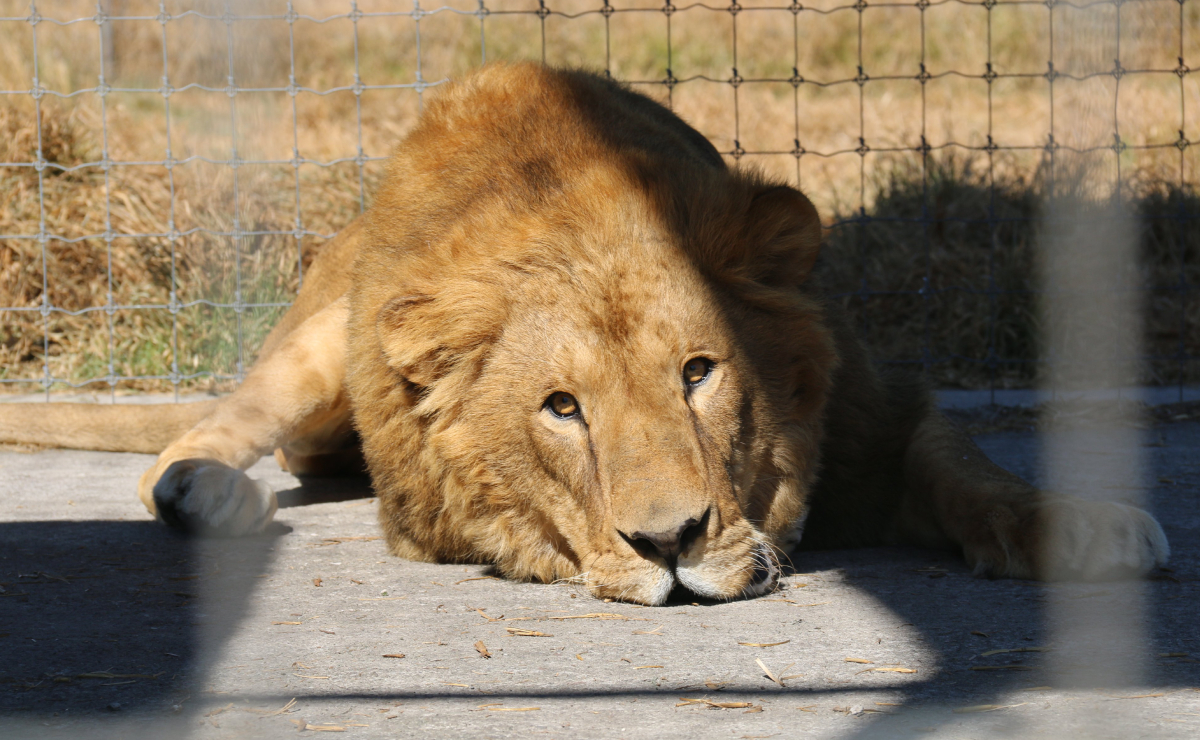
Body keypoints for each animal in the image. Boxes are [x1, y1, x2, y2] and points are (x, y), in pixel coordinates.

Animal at [0, 65, 1161, 606]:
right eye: (563, 408)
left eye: (699, 372)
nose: (671, 544)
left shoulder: (882, 413)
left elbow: (975, 471)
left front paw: (1086, 528)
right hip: (318, 346)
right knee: (202, 439)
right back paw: (206, 495)